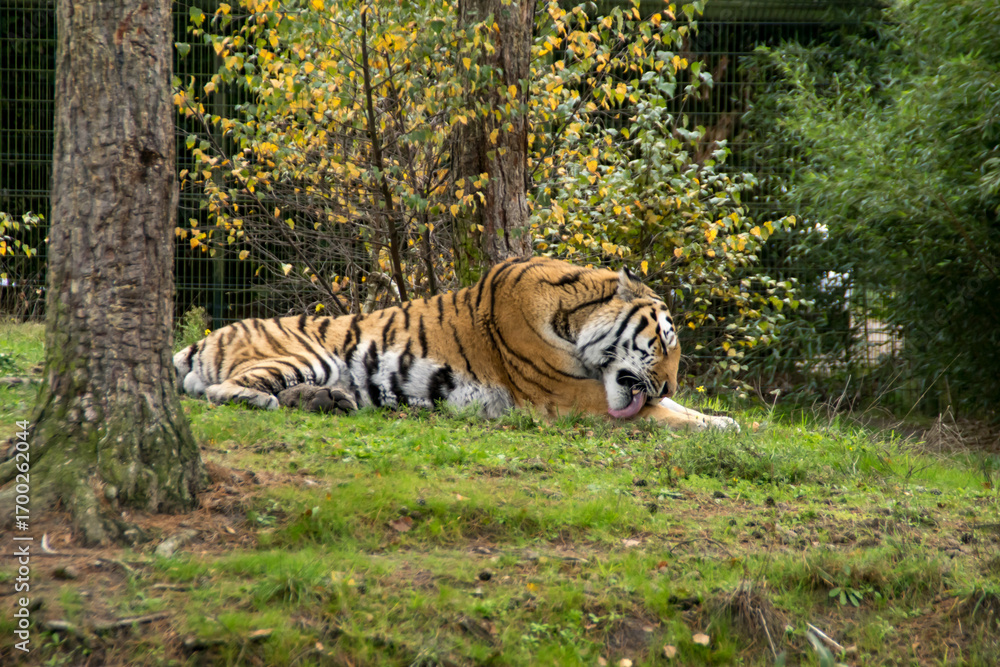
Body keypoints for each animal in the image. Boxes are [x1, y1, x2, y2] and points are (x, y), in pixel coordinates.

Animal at [173, 257, 738, 430]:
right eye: (664, 342)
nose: (669, 384)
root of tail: (205, 338)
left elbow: (676, 412)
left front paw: (727, 421)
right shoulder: (569, 398)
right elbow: (662, 417)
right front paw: (716, 426)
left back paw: (332, 402)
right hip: (305, 354)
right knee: (222, 390)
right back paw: (265, 400)